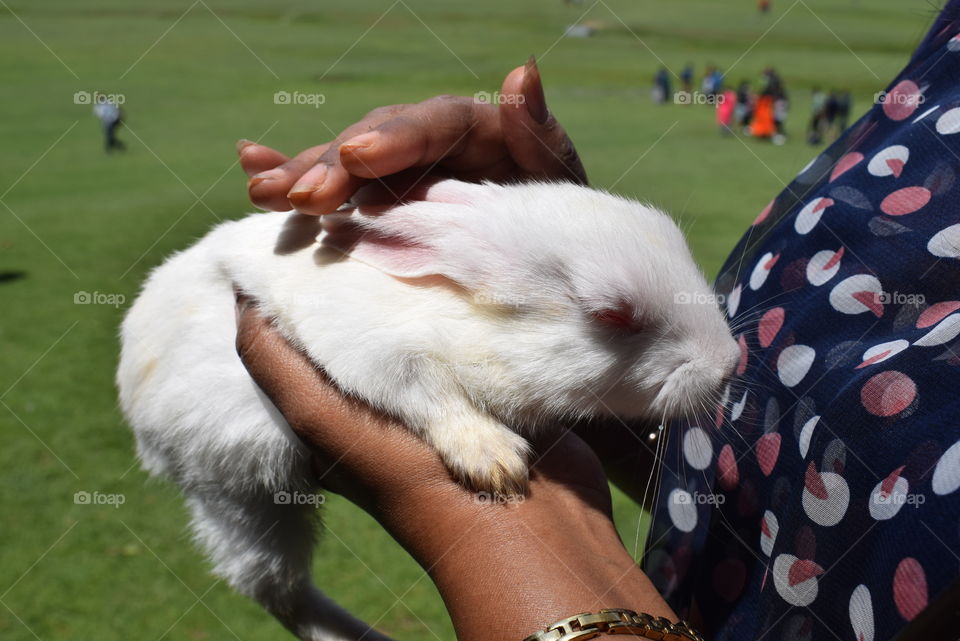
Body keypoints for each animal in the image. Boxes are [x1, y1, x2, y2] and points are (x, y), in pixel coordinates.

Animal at [116, 178, 740, 636]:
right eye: (613, 314)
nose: (730, 364)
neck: (465, 318)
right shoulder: (387, 359)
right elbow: (435, 403)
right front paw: (495, 462)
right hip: (237, 490)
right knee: (277, 592)